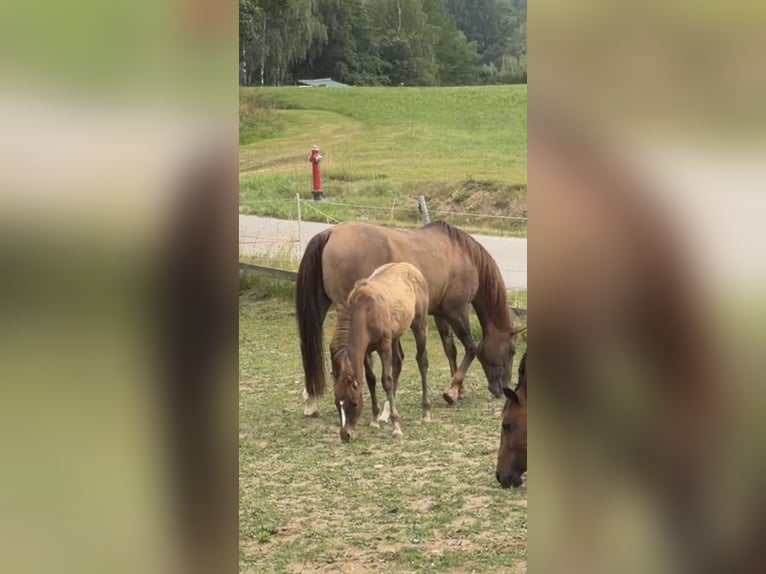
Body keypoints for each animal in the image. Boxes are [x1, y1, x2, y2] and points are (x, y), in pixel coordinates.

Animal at [296, 220, 525, 417]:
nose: (503, 389)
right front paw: (452, 391)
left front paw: (459, 389)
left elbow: (450, 349)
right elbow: (471, 348)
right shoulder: (457, 312)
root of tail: (331, 233)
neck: (462, 254)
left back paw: (311, 400)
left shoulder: (440, 314)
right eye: (512, 351)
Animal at [329, 262, 430, 442]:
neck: (367, 312)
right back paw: (386, 414)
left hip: (419, 325)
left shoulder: (384, 346)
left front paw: (396, 427)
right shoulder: (366, 351)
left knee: (422, 361)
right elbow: (371, 379)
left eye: (354, 402)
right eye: (336, 403)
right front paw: (375, 419)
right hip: (395, 335)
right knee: (398, 362)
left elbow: (386, 380)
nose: (345, 435)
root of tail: (412, 268)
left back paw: (425, 413)